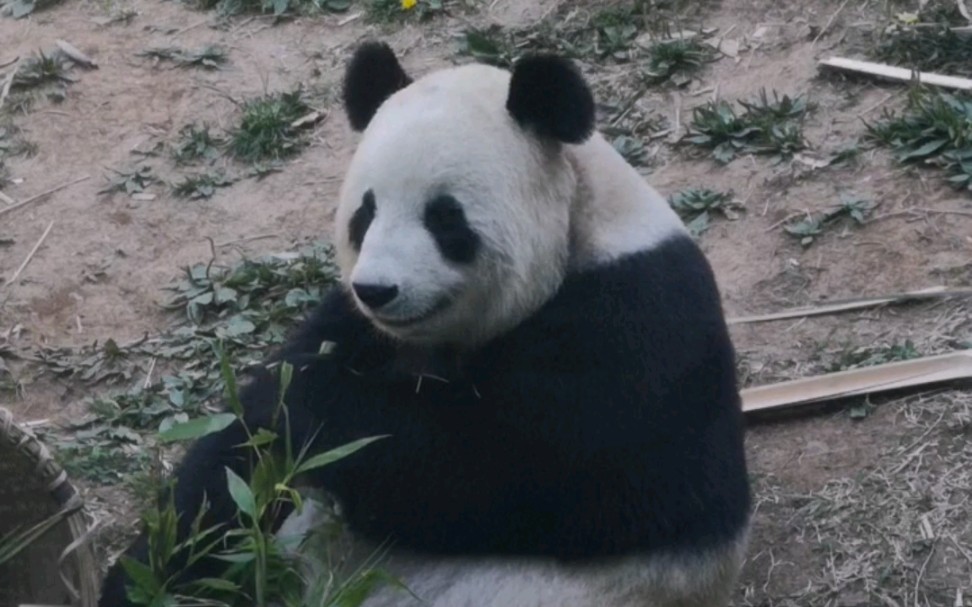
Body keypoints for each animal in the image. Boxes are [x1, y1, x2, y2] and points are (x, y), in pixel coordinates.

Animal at [98, 41, 752, 607]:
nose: (378, 290)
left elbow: (488, 473)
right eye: (365, 212)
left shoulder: (633, 328)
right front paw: (152, 571)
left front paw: (304, 403)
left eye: (444, 218)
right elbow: (232, 471)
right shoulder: (351, 323)